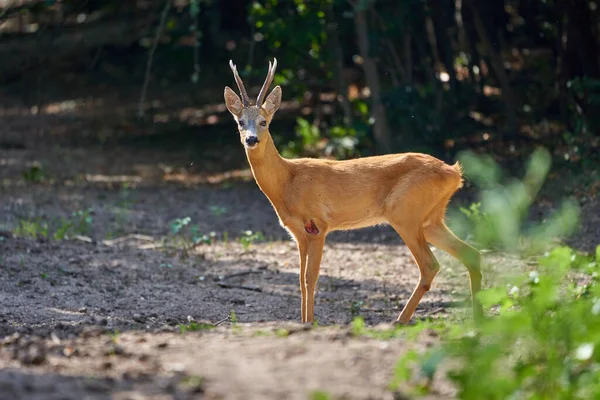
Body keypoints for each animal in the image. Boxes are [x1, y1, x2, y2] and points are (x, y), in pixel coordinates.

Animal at [225, 57, 482, 324]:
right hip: (430, 218)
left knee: (430, 265)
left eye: (264, 121)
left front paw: (311, 323)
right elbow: (300, 280)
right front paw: (304, 321)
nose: (251, 139)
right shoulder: (297, 233)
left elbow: (310, 277)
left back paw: (399, 321)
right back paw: (478, 319)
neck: (287, 181)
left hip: (404, 211)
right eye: (240, 122)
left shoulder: (317, 225)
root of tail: (454, 172)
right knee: (471, 253)